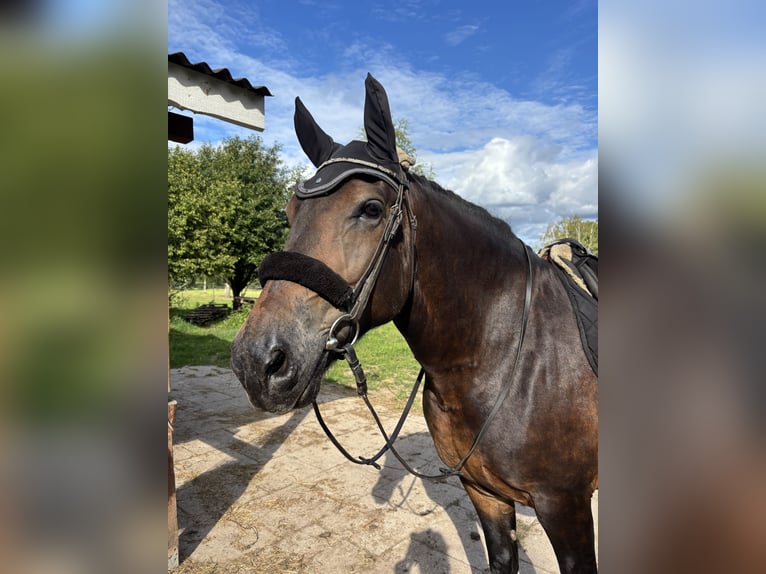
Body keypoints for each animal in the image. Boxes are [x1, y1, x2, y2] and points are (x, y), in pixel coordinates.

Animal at [231, 74, 598, 573]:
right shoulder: (485, 495)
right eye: (290, 212)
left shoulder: (567, 509)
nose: (257, 362)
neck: (505, 358)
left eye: (371, 209)